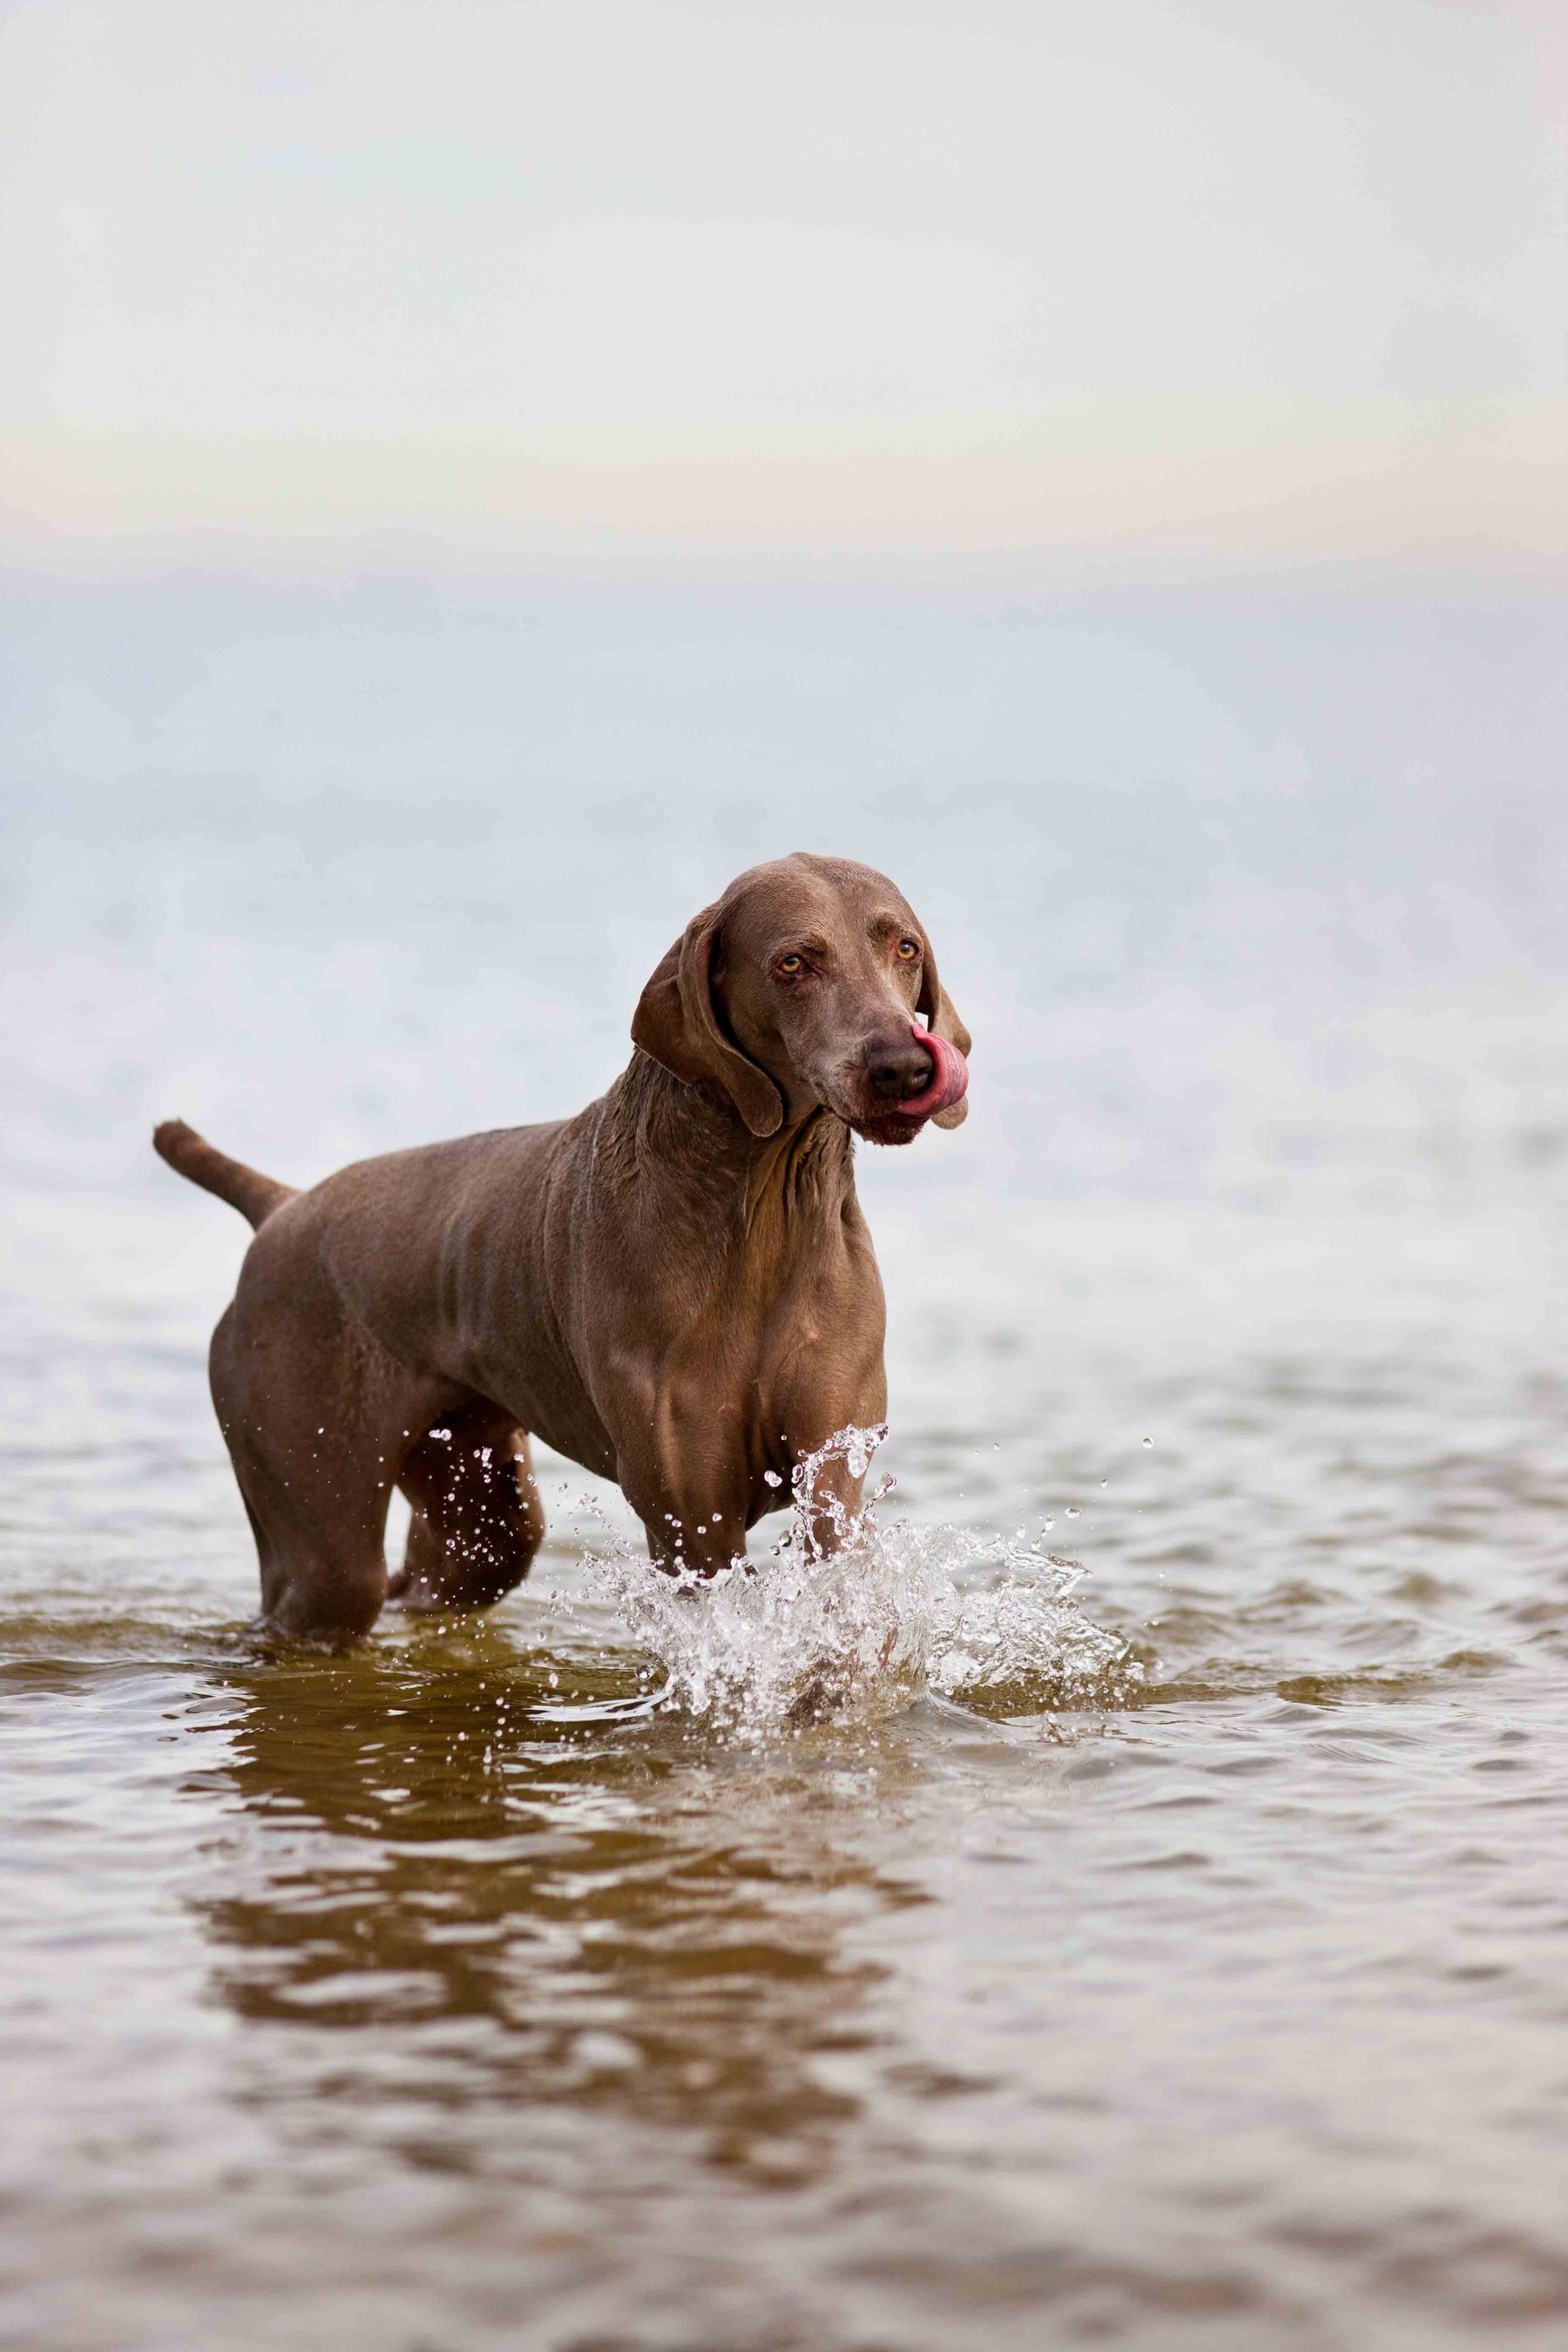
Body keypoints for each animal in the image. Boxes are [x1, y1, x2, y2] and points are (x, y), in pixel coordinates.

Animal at [156, 855, 968, 1646]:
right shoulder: (688, 1511)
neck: (763, 1222)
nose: (902, 1065)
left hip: (481, 1503)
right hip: (319, 1514)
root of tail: (279, 1207)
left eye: (904, 949)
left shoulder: (834, 1462)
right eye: (793, 963)